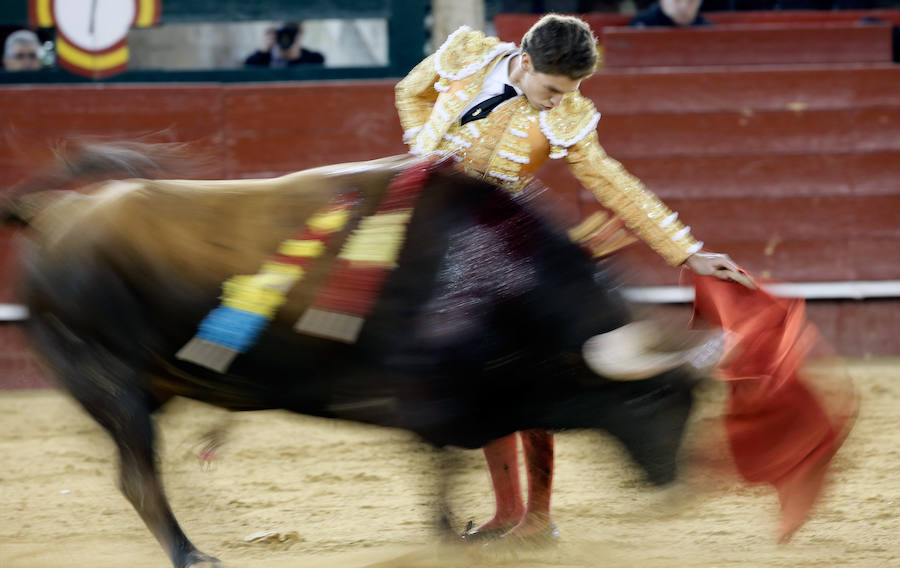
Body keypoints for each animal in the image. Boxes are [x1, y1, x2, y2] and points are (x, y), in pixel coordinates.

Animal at [3, 146, 712, 568]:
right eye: (648, 396)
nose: (676, 488)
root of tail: (55, 215)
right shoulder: (432, 397)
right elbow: (443, 468)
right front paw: (449, 538)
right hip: (111, 382)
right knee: (140, 477)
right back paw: (191, 554)